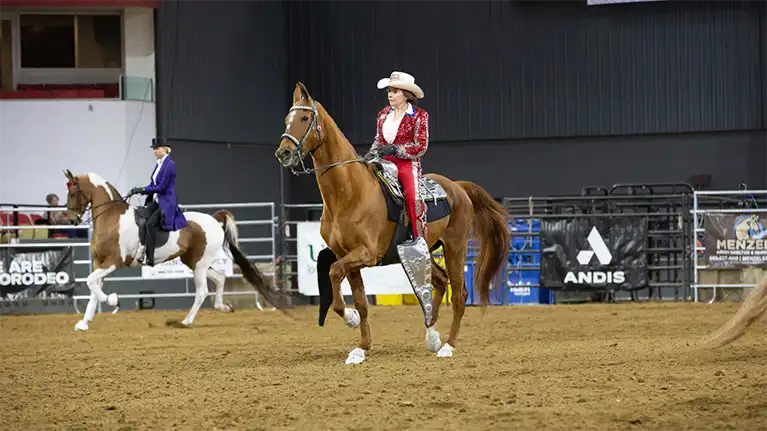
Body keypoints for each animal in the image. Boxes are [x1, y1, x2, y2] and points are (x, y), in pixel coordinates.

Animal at [62, 170, 284, 331]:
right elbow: (93, 287)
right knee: (220, 277)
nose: (71, 220)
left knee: (202, 291)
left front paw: (113, 301)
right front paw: (83, 323)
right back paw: (223, 307)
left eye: (73, 193)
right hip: (194, 261)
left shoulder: (114, 262)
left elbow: (91, 283)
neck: (112, 218)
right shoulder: (99, 262)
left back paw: (185, 322)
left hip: (200, 263)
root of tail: (214, 220)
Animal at [275, 83, 510, 364]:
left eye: (304, 118)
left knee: (459, 294)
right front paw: (361, 347)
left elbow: (332, 273)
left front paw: (351, 320)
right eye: (286, 119)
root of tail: (457, 187)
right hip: (425, 249)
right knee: (439, 282)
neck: (349, 193)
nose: (283, 152)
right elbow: (360, 301)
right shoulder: (347, 256)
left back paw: (447, 345)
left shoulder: (365, 253)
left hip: (455, 246)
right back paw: (432, 336)